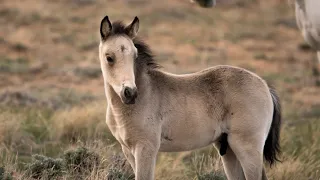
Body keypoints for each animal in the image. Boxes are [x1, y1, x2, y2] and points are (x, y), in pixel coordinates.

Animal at [98, 15, 280, 180]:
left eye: (135, 56)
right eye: (109, 58)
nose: (130, 93)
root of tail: (265, 85)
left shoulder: (146, 149)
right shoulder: (128, 151)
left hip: (247, 148)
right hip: (229, 150)